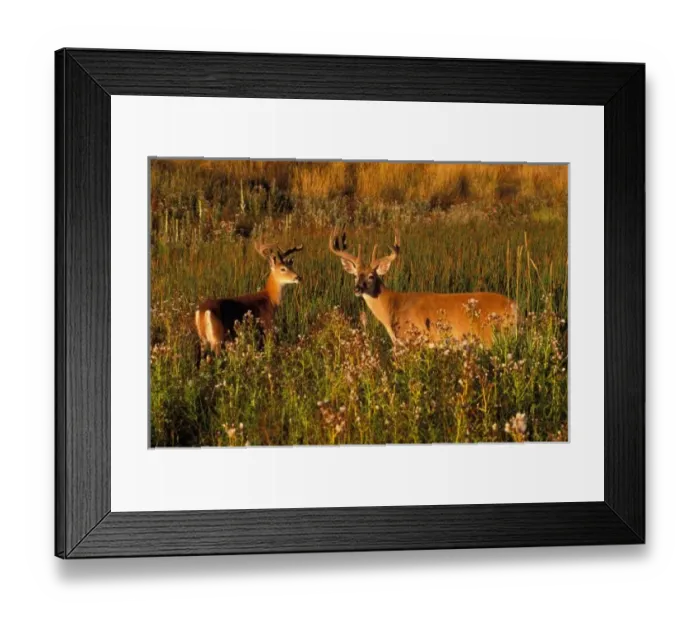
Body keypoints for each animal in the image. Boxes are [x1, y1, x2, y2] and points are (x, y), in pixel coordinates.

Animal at [329, 228, 517, 347]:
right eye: (355, 275)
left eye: (371, 276)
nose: (357, 289)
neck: (393, 307)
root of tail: (513, 306)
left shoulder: (412, 339)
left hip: (490, 336)